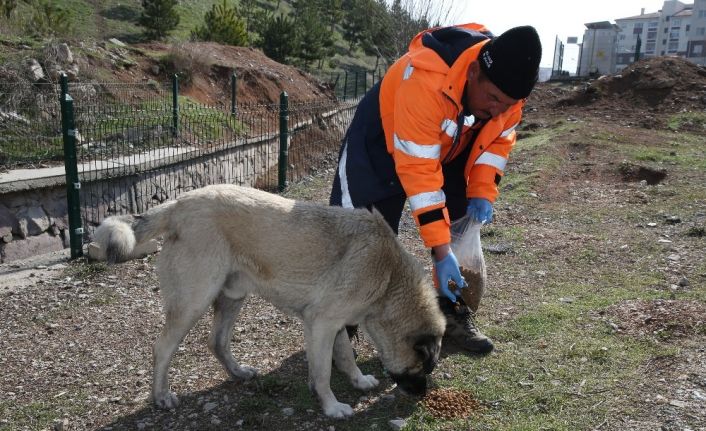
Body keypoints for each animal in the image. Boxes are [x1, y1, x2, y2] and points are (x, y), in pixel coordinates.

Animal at [95, 185, 440, 418]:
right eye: (421, 368)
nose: (422, 397)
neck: (389, 277)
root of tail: (180, 203)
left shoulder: (334, 323)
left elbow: (344, 357)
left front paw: (357, 380)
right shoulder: (321, 325)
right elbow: (322, 374)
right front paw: (331, 407)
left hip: (233, 296)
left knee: (217, 341)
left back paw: (238, 373)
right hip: (193, 302)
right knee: (163, 348)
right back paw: (162, 396)